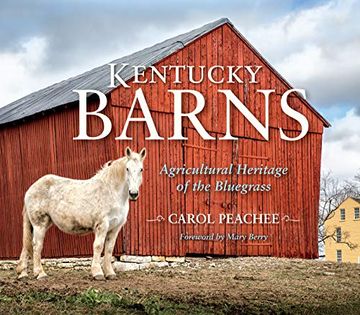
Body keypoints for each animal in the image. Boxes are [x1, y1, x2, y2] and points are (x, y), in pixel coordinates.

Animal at [16, 148, 146, 282]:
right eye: (127, 169)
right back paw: (40, 274)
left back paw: (23, 274)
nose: (133, 194)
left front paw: (110, 273)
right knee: (36, 246)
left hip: (39, 224)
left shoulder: (115, 227)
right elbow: (98, 246)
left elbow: (109, 249)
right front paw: (97, 273)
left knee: (26, 245)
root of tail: (31, 189)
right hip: (40, 224)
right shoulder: (102, 225)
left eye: (141, 169)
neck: (111, 192)